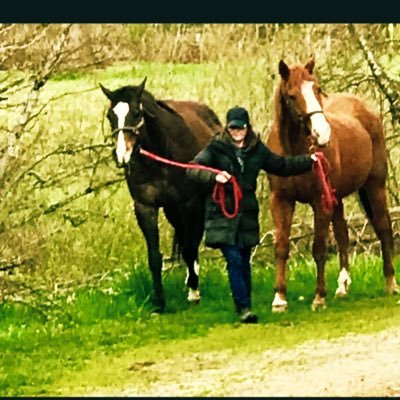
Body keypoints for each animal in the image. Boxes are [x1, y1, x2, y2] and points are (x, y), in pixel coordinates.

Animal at [100, 76, 222, 310]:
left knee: (193, 240)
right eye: (111, 115)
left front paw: (194, 292)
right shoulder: (145, 207)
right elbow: (155, 257)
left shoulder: (189, 203)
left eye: (136, 113)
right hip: (172, 210)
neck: (160, 156)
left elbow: (190, 247)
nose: (121, 155)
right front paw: (159, 301)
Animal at [268, 57, 398, 312]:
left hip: (374, 186)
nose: (322, 133)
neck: (294, 152)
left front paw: (319, 297)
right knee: (343, 235)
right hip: (337, 197)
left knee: (383, 228)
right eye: (292, 95)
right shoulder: (281, 200)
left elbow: (319, 248)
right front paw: (279, 299)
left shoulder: (319, 202)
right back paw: (342, 286)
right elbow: (281, 247)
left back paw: (390, 283)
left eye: (317, 89)